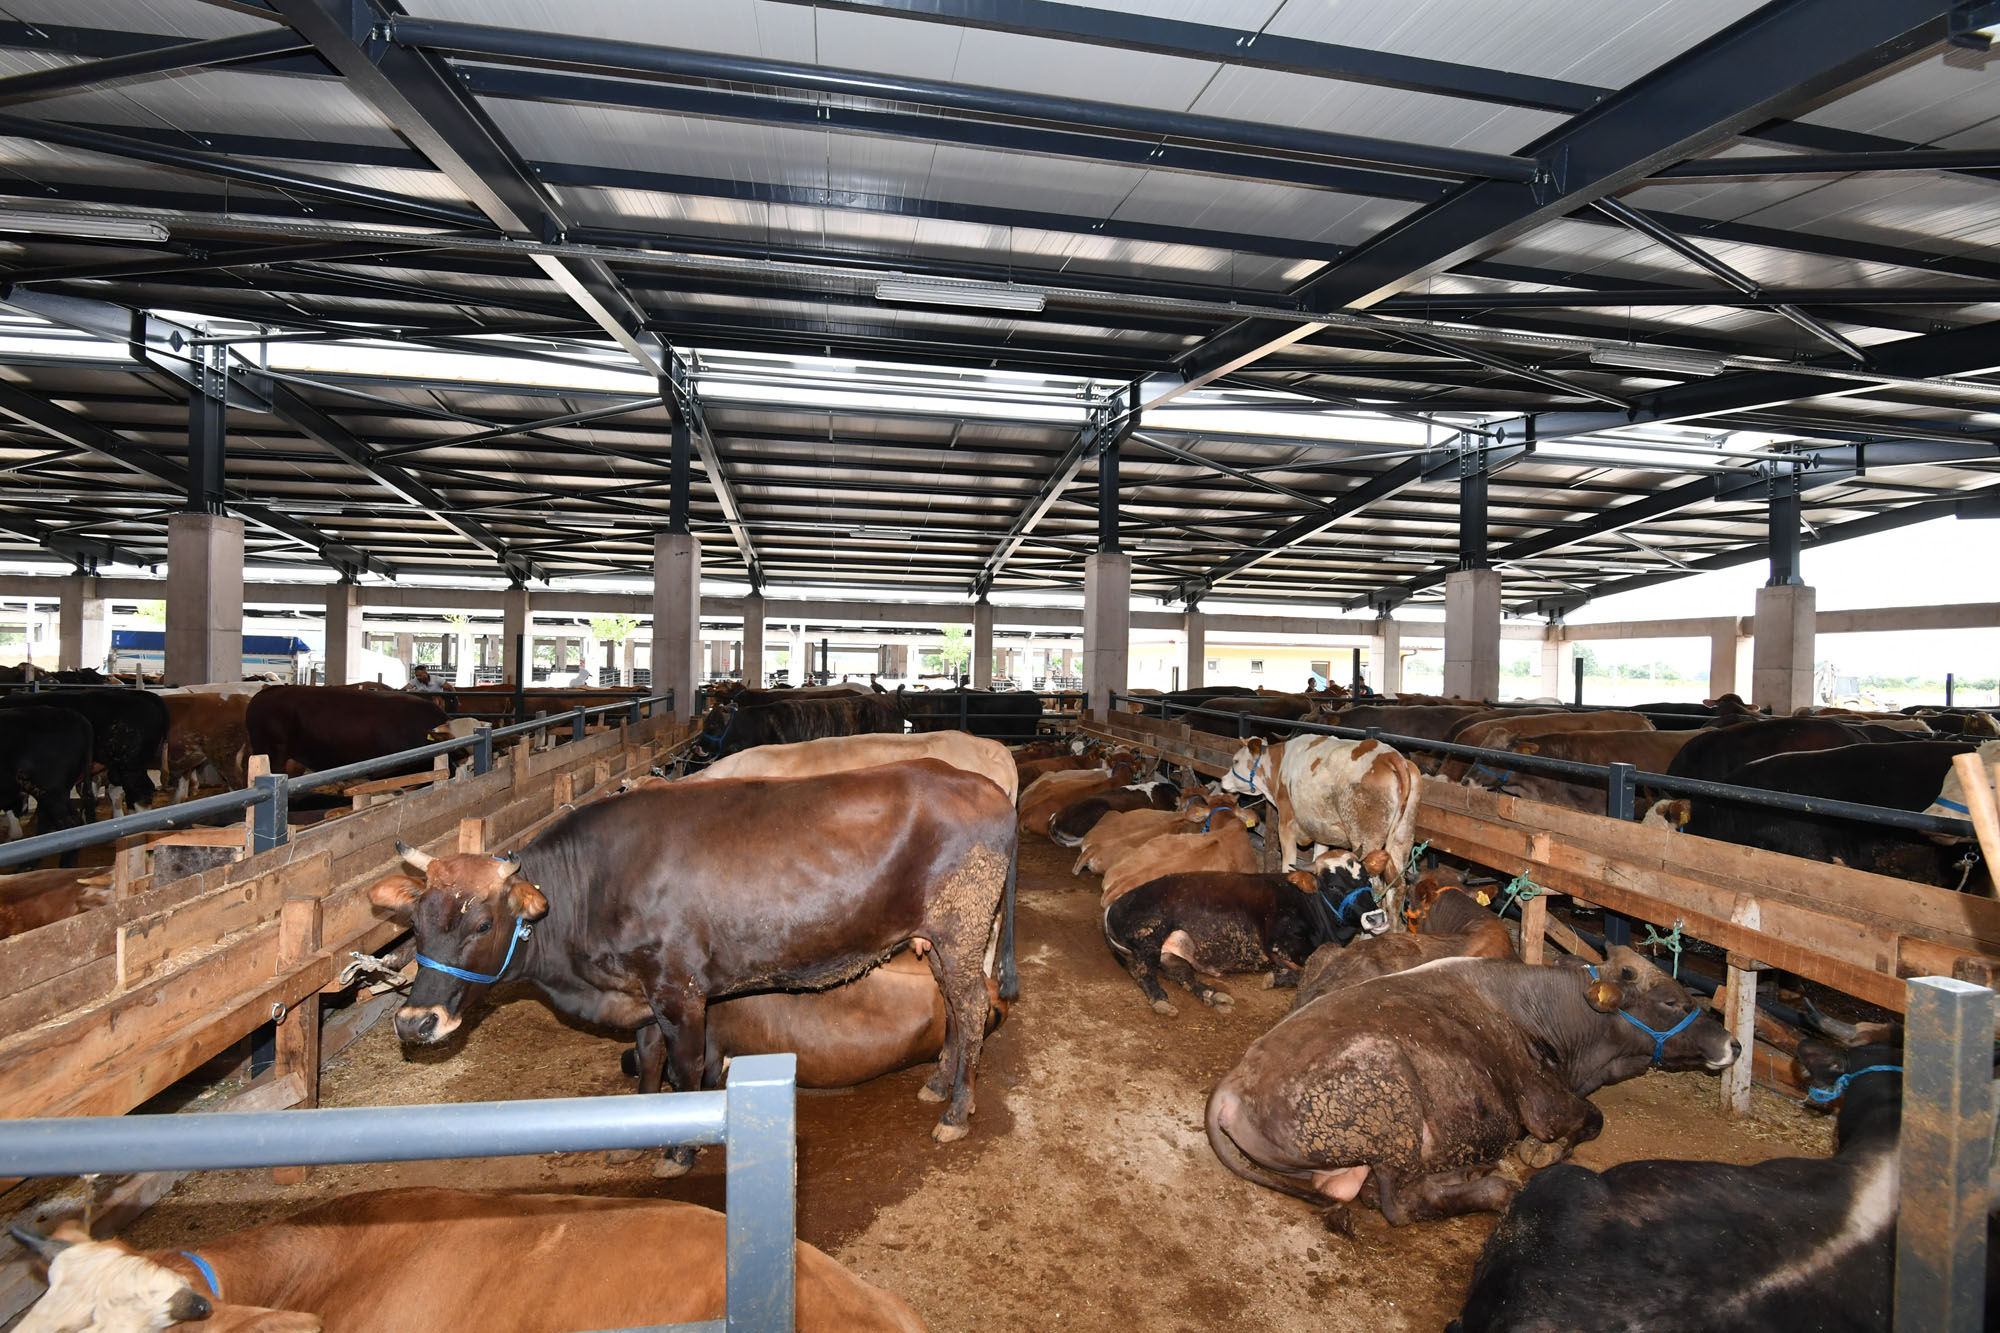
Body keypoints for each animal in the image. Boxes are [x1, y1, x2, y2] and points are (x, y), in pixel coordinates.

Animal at [368, 760, 1014, 1170]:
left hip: (963, 927)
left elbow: (683, 1071)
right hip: (936, 940)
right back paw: (938, 1083)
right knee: (955, 1005)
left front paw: (679, 1151)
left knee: (970, 1006)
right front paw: (635, 1139)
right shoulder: (644, 997)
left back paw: (957, 1109)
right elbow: (650, 1067)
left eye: (483, 925)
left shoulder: (680, 992)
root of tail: (984, 786)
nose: (414, 1022)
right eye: (417, 924)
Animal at [1101, 853, 1378, 1016]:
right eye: (1333, 885)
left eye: (1367, 879)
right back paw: (1161, 1000)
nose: (1376, 917)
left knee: (1180, 973)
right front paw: (1275, 978)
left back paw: (1213, 995)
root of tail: (1113, 906)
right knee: (1142, 970)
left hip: (1170, 950)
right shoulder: (1281, 944)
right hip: (1148, 936)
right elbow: (1311, 967)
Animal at [1204, 949, 1738, 1224]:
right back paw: (1492, 1184)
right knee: (1398, 1203)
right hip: (1392, 1104)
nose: (1732, 1043)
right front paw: (1541, 1154)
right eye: (1671, 1001)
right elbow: (1590, 1120)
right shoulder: (1542, 1102)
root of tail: (1230, 1087)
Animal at [1220, 734, 1422, 915]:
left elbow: (1288, 864)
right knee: (1398, 887)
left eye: (1235, 761)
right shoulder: (1321, 831)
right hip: (1402, 837)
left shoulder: (1286, 825)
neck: (1279, 767)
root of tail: (1390, 756)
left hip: (1366, 837)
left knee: (1377, 884)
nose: (1222, 780)